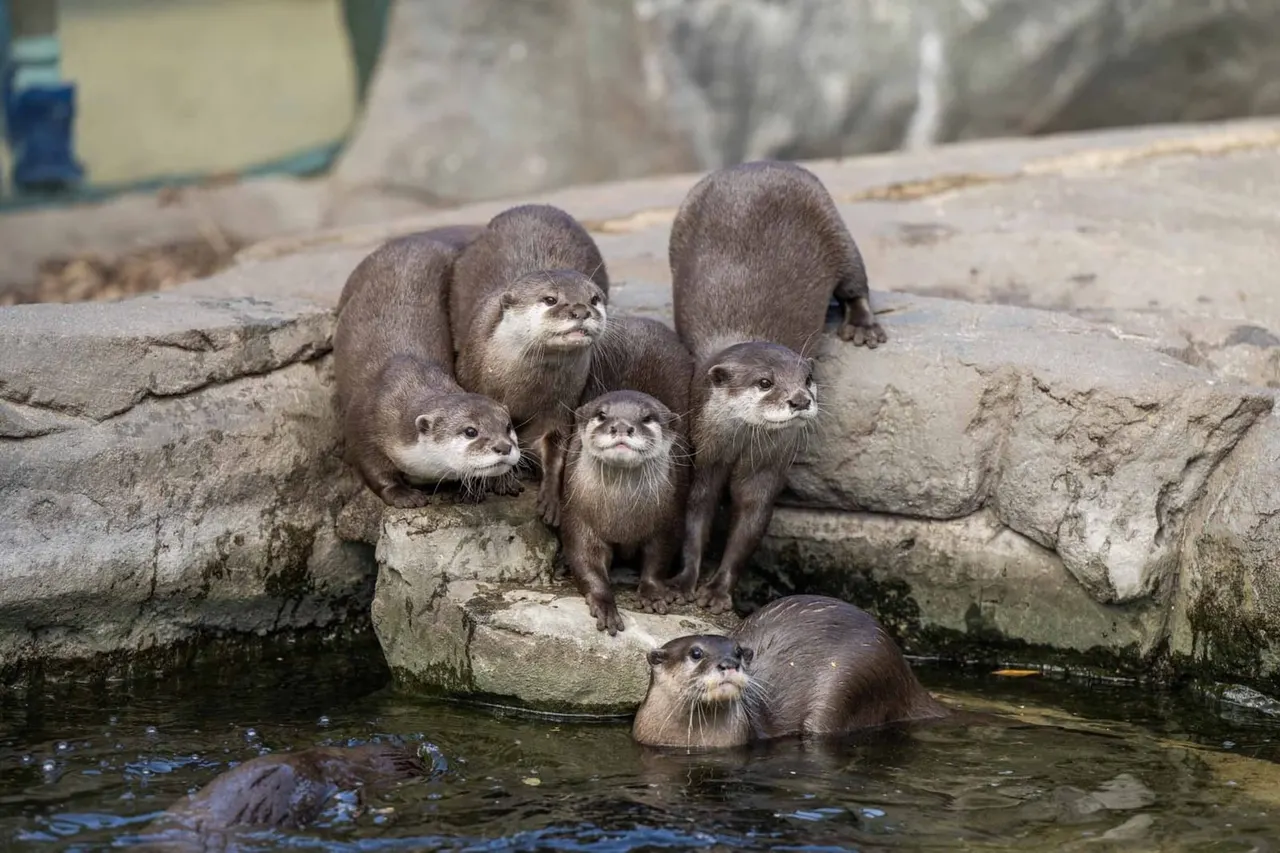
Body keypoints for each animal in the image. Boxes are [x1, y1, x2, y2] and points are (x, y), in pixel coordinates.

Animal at [335, 228, 522, 508]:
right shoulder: (362, 427)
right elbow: (374, 470)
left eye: (508, 426)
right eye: (470, 431)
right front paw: (404, 496)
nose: (504, 446)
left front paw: (499, 481)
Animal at [450, 204, 610, 526]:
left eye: (594, 299)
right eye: (550, 299)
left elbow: (554, 448)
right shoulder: (475, 381)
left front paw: (551, 498)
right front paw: (503, 479)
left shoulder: (559, 407)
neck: (524, 390)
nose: (580, 310)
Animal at [560, 390, 687, 635]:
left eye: (647, 418)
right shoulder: (579, 519)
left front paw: (653, 594)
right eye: (601, 414)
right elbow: (585, 559)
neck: (622, 520)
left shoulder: (667, 522)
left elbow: (659, 559)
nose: (620, 426)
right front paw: (604, 604)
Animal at [632, 595, 948, 749]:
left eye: (738, 652)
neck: (685, 742)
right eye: (696, 653)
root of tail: (905, 672)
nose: (729, 663)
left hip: (855, 678)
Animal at [668, 160, 886, 613]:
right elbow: (697, 513)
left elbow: (750, 523)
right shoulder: (705, 452)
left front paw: (718, 591)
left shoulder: (770, 463)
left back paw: (862, 325)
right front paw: (683, 582)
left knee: (856, 283)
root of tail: (759, 164)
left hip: (835, 229)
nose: (799, 400)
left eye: (808, 380)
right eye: (765, 382)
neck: (738, 448)